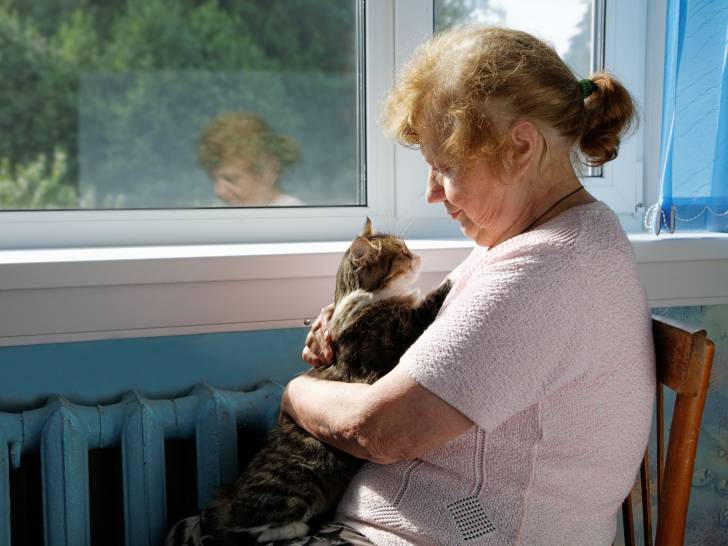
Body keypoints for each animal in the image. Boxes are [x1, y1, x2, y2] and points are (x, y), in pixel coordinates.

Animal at [199, 217, 450, 540]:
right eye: (403, 254)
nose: (417, 256)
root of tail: (229, 500)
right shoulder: (393, 334)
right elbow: (425, 307)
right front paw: (446, 283)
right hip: (299, 488)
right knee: (255, 528)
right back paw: (296, 527)